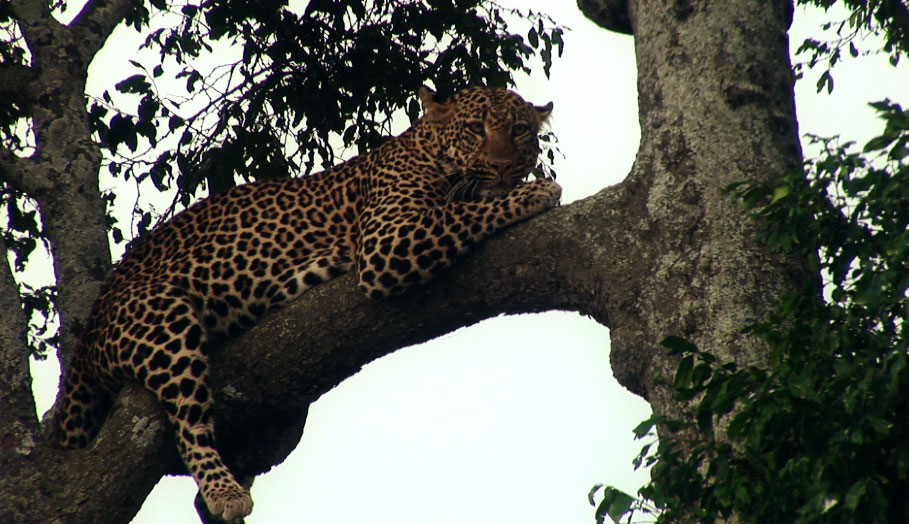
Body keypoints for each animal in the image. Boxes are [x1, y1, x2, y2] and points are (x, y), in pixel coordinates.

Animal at [53, 86, 562, 521]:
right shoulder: (388, 240)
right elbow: (468, 211)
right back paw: (224, 491)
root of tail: (91, 326)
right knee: (189, 424)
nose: (503, 168)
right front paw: (539, 191)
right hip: (163, 318)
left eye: (519, 131)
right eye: (475, 128)